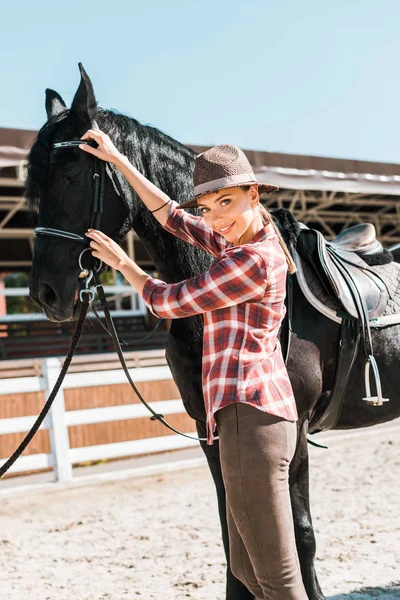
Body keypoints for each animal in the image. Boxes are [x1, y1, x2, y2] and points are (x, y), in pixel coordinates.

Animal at [26, 65, 398, 600]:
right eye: (32, 184)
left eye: (73, 173)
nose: (45, 293)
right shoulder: (209, 428)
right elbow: (232, 535)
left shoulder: (294, 429)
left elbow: (299, 534)